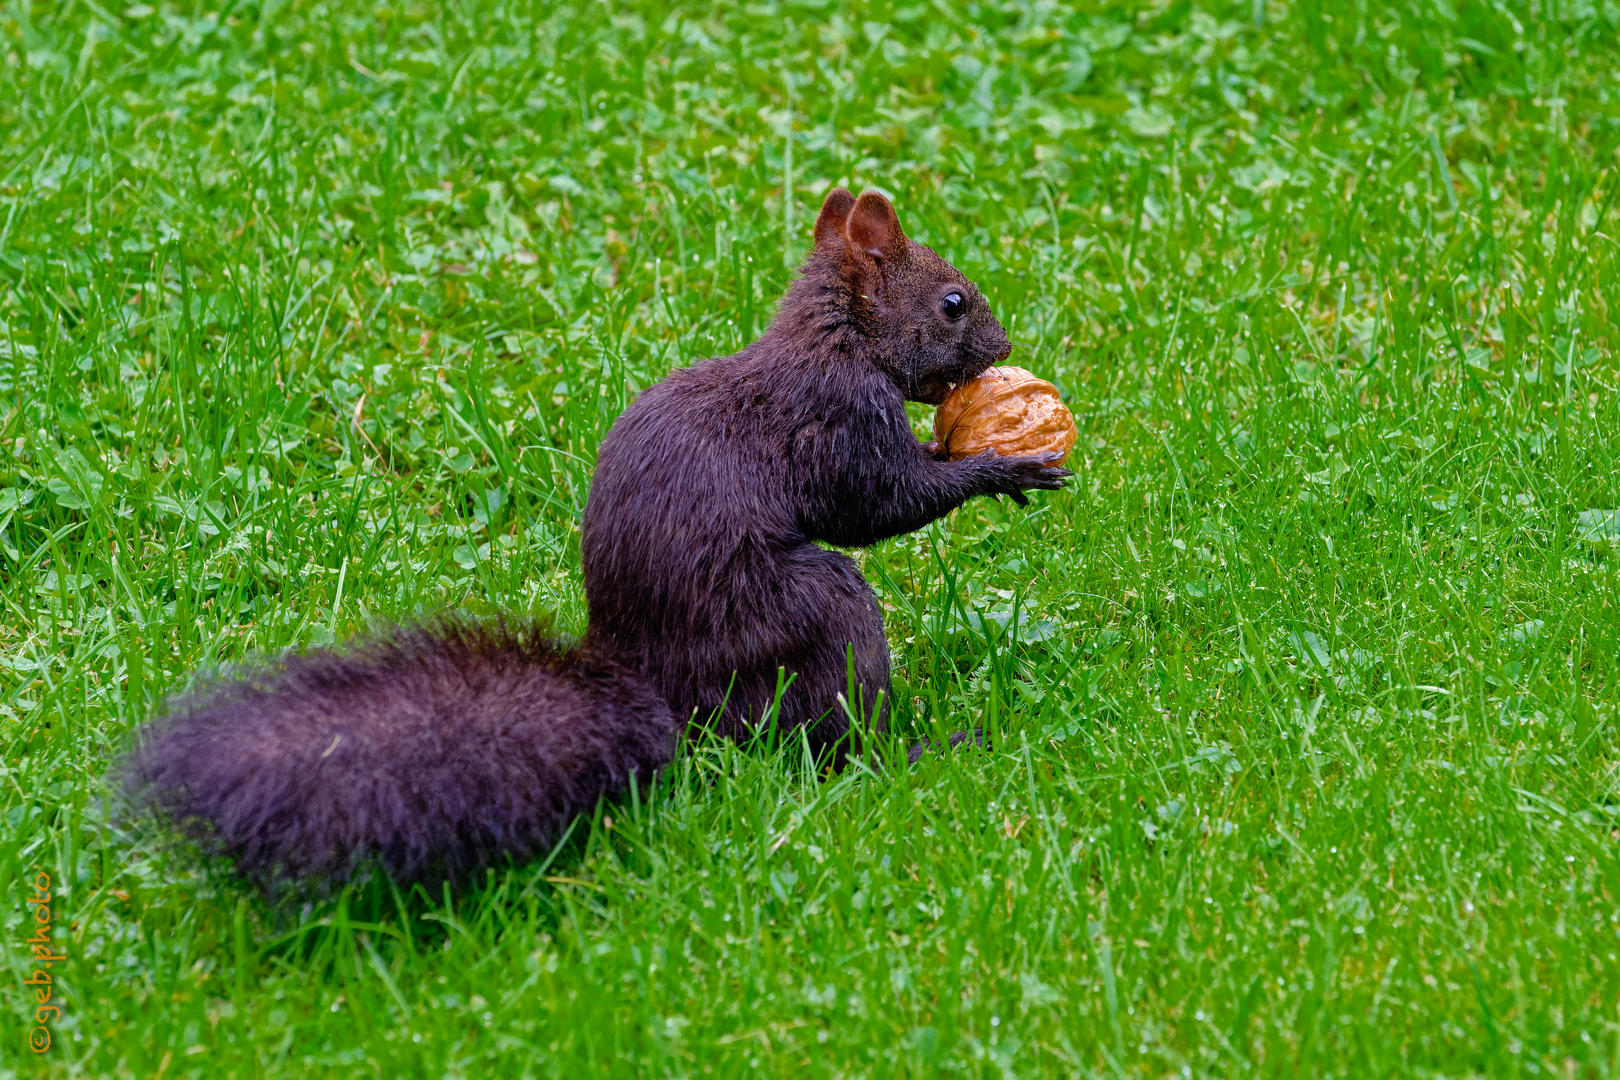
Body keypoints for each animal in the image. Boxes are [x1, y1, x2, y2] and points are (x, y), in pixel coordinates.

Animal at [123, 191, 1062, 887]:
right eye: (952, 303)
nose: (1004, 346)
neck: (835, 340)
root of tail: (658, 694)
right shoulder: (837, 421)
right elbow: (877, 505)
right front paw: (999, 464)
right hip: (808, 613)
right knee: (825, 739)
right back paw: (916, 746)